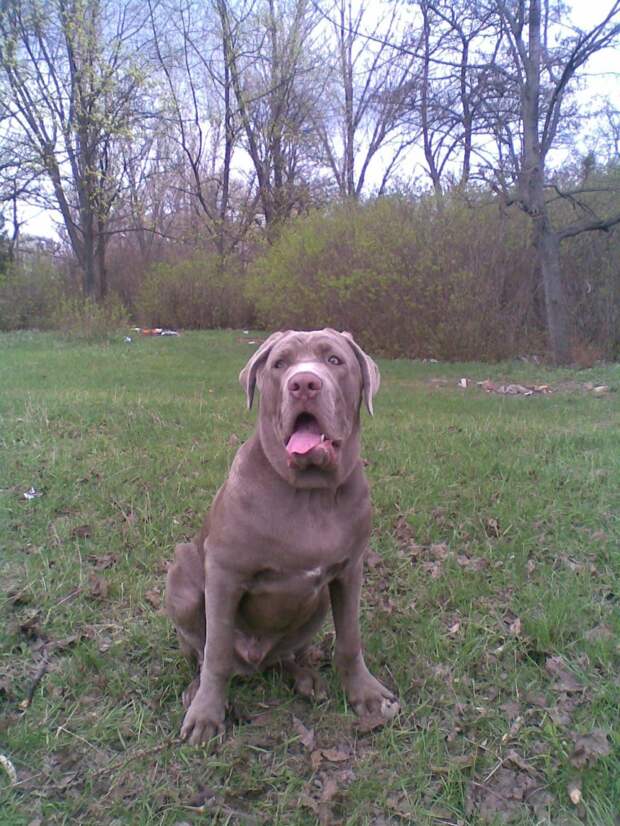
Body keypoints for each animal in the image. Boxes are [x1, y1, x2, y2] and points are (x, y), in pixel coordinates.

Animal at [165, 329, 399, 744]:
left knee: (286, 655)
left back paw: (305, 678)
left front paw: (366, 694)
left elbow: (350, 639)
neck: (310, 494)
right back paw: (195, 691)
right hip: (181, 578)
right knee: (200, 650)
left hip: (317, 602)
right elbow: (216, 651)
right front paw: (206, 715)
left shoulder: (349, 571)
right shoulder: (224, 574)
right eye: (279, 364)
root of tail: (253, 662)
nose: (304, 383)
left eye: (334, 360)